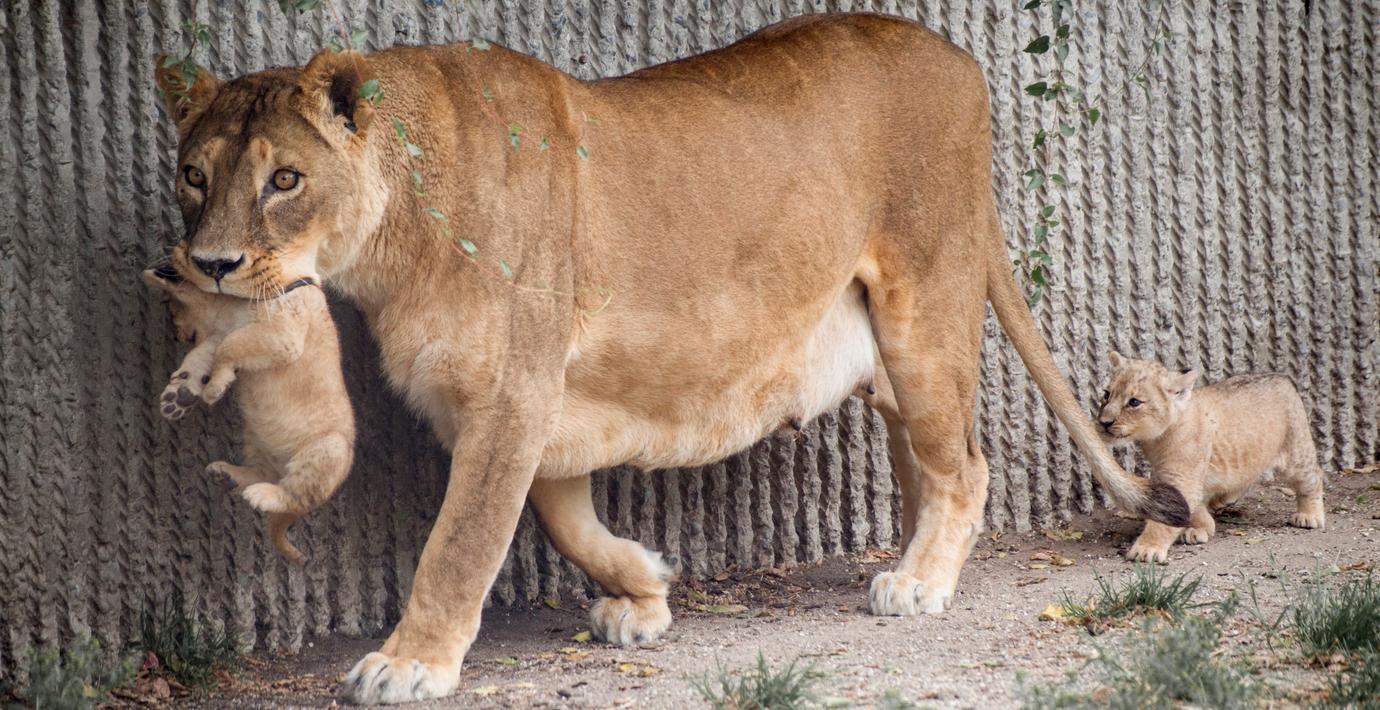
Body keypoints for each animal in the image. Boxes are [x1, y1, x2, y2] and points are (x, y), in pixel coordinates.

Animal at [142, 244, 355, 565]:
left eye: (173, 313)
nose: (177, 335)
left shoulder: (282, 334)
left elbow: (228, 347)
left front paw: (213, 389)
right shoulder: (225, 331)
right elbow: (206, 354)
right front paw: (180, 395)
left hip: (330, 449)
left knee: (296, 495)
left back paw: (262, 495)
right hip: (255, 438)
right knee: (264, 472)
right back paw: (228, 476)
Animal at [1096, 352, 1325, 563]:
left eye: (1134, 402)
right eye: (1107, 394)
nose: (1104, 422)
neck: (1155, 439)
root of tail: (1282, 377)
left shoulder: (1183, 477)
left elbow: (1165, 520)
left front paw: (1147, 549)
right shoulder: (1172, 475)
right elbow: (1189, 506)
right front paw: (1202, 527)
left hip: (1296, 453)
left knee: (1313, 478)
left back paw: (1309, 515)